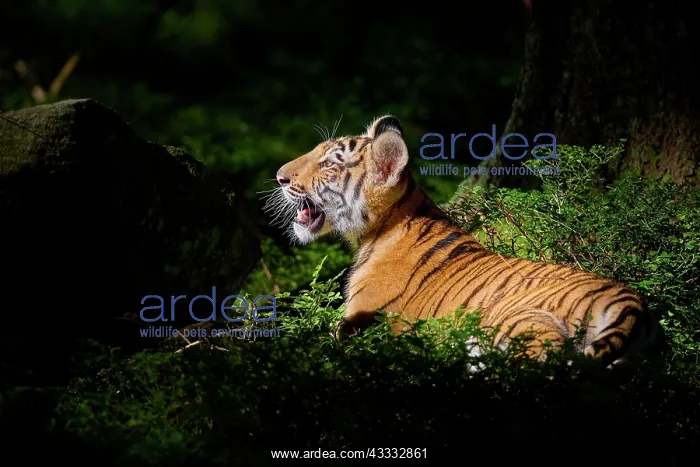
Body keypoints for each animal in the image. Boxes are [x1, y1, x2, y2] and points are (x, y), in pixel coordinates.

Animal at [269, 115, 658, 367]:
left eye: (329, 164)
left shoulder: (356, 322)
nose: (279, 177)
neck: (379, 230)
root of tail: (630, 303)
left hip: (519, 326)